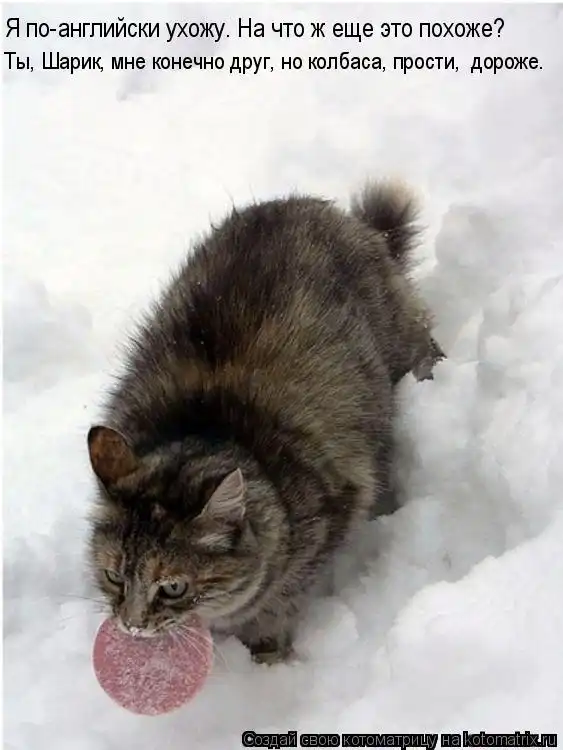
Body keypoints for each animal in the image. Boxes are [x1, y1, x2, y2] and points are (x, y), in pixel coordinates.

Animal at [86, 180, 444, 664]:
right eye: (115, 577)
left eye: (174, 587)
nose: (132, 625)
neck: (206, 426)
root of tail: (350, 221)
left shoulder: (337, 507)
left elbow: (278, 602)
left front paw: (268, 656)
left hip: (407, 347)